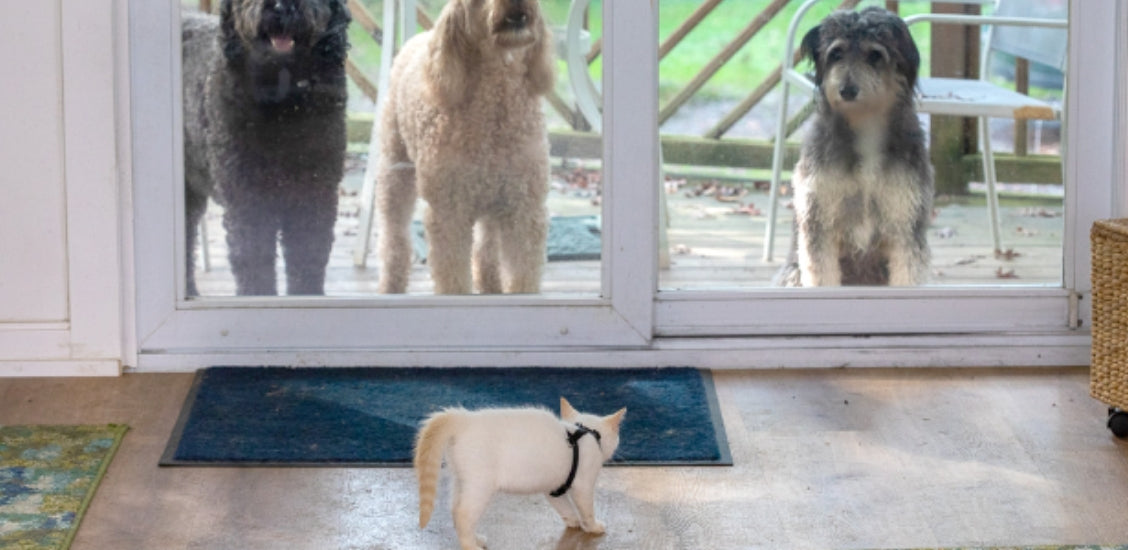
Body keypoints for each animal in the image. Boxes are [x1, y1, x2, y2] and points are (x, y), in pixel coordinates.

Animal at [379, 0, 554, 295]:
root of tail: (419, 38)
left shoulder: (524, 207)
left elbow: (523, 273)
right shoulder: (449, 212)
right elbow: (453, 278)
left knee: (486, 244)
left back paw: (490, 284)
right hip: (396, 171)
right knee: (394, 236)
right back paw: (390, 285)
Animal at [415, 396, 627, 547]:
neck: (585, 431)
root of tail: (464, 418)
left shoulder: (553, 489)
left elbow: (565, 507)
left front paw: (573, 521)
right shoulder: (583, 486)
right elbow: (587, 509)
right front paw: (593, 527)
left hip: (461, 481)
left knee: (455, 510)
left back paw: (476, 539)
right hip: (480, 486)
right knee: (463, 514)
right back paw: (471, 546)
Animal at [780, 8, 929, 287]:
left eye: (875, 55)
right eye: (836, 53)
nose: (847, 90)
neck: (865, 126)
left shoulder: (905, 225)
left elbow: (907, 274)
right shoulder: (819, 221)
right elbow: (822, 275)